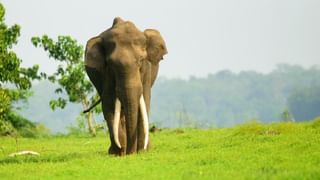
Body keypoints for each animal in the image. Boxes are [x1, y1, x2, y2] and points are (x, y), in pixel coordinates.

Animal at [84, 17, 169, 155]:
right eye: (111, 64)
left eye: (141, 60)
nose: (131, 152)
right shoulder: (105, 74)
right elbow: (109, 104)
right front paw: (119, 153)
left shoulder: (146, 71)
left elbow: (144, 101)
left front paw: (142, 151)